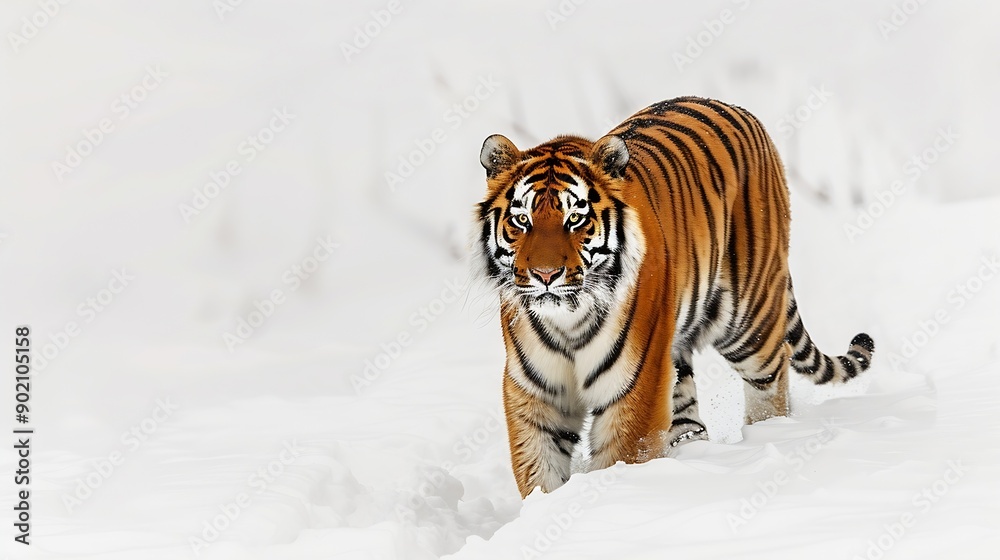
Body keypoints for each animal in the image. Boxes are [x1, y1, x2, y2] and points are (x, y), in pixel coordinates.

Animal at [473, 96, 875, 498]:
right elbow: (540, 471)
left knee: (772, 374)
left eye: (575, 220)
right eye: (521, 220)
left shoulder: (634, 388)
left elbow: (621, 457)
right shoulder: (536, 393)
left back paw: (767, 436)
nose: (545, 275)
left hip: (747, 323)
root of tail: (737, 108)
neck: (569, 320)